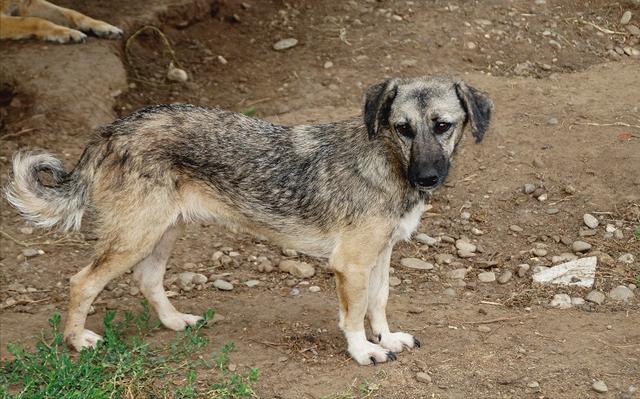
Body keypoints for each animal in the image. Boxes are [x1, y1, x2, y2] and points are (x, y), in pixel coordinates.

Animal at [5, 76, 492, 368]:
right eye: (402, 127)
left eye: (443, 125)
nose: (427, 177)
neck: (387, 160)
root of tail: (113, 129)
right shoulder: (351, 264)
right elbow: (354, 315)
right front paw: (362, 351)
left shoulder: (382, 255)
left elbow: (379, 303)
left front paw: (386, 339)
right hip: (134, 237)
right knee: (81, 282)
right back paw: (77, 341)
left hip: (162, 232)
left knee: (147, 279)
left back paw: (174, 322)